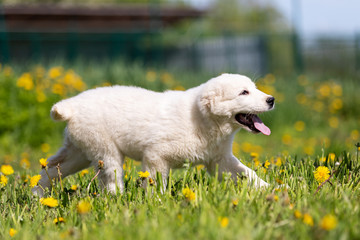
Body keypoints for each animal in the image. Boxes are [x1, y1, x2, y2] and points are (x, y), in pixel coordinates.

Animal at [33, 73, 276, 195]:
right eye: (243, 93)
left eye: (254, 88)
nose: (271, 99)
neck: (203, 118)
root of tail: (71, 105)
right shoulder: (155, 157)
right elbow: (155, 182)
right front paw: (155, 202)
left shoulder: (220, 160)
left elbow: (247, 174)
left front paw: (271, 189)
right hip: (105, 151)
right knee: (111, 179)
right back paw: (118, 199)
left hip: (78, 153)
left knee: (51, 168)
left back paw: (37, 194)